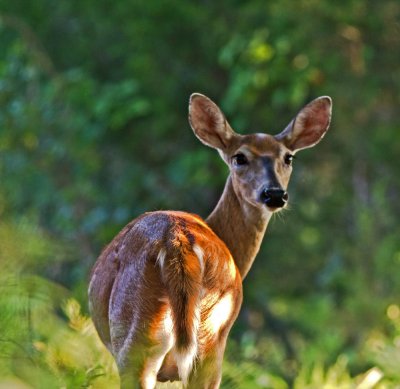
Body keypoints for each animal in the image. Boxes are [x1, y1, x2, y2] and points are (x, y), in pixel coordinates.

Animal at [87, 92, 332, 386]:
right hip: (204, 339)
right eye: (239, 157)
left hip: (149, 337)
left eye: (288, 157)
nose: (273, 194)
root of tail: (176, 241)